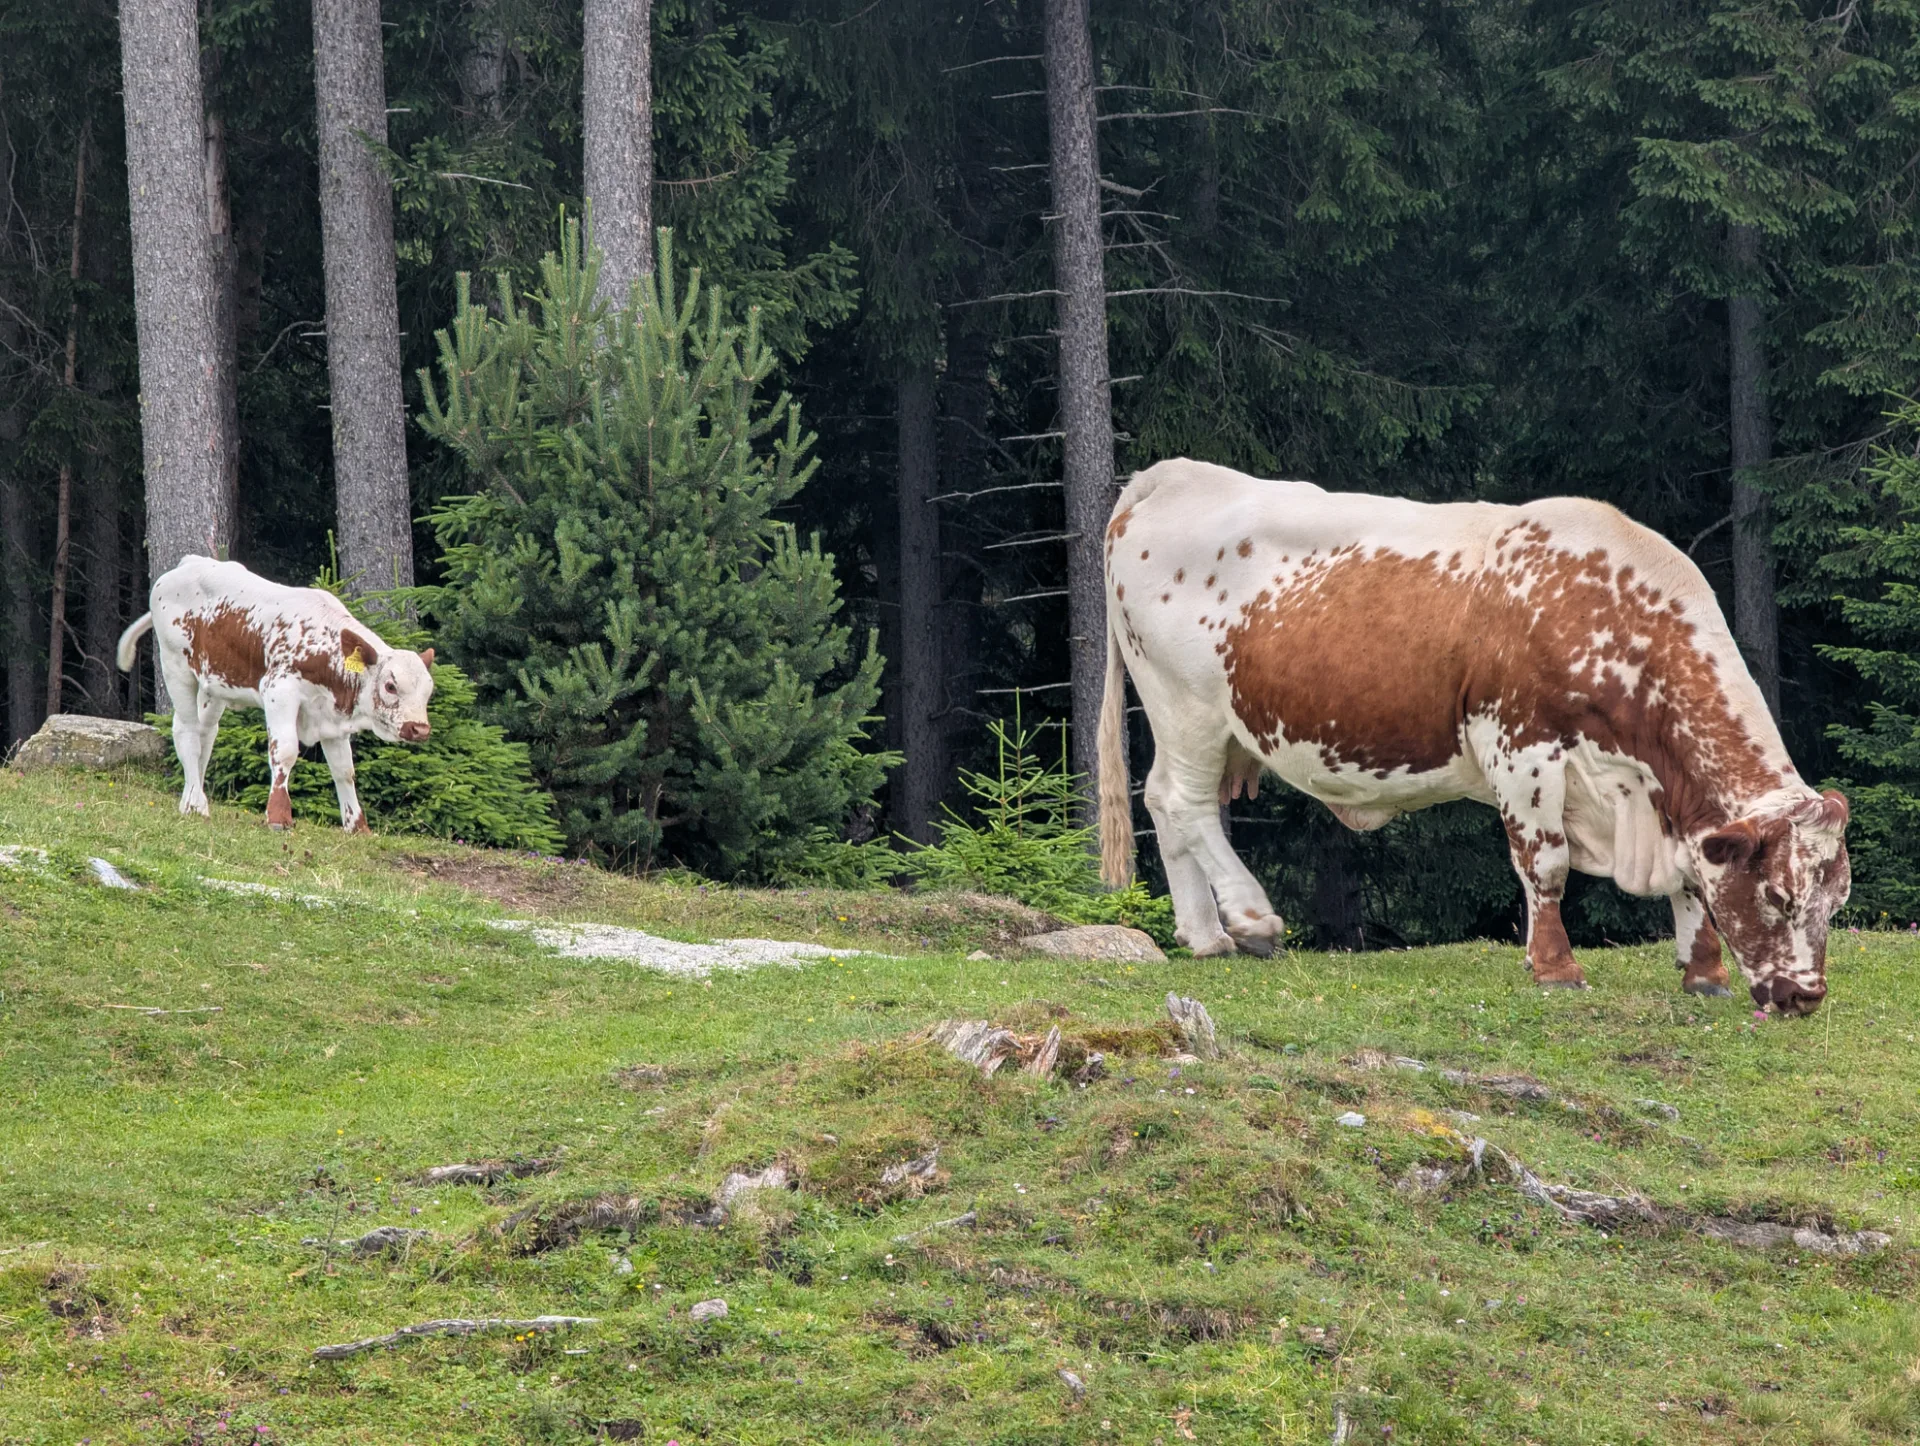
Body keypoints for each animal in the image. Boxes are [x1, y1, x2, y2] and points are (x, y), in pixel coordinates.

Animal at [117, 556, 435, 833]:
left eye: (428, 691)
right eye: (390, 685)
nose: (419, 729)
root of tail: (188, 563)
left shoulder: (331, 716)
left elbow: (344, 769)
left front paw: (357, 827)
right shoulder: (279, 690)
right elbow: (285, 751)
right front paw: (279, 817)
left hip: (214, 686)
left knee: (206, 736)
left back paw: (190, 803)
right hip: (176, 666)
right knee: (187, 732)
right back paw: (198, 803)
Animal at [1097, 459, 1850, 1015]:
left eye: (1836, 901)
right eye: (1778, 896)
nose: (1805, 997)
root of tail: (1177, 473)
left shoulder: (1662, 790)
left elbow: (1691, 875)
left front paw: (1703, 973)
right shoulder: (1518, 745)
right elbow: (1544, 863)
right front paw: (1555, 967)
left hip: (1207, 723)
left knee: (1165, 802)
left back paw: (1205, 936)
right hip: (1186, 704)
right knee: (1185, 802)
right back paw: (1251, 919)